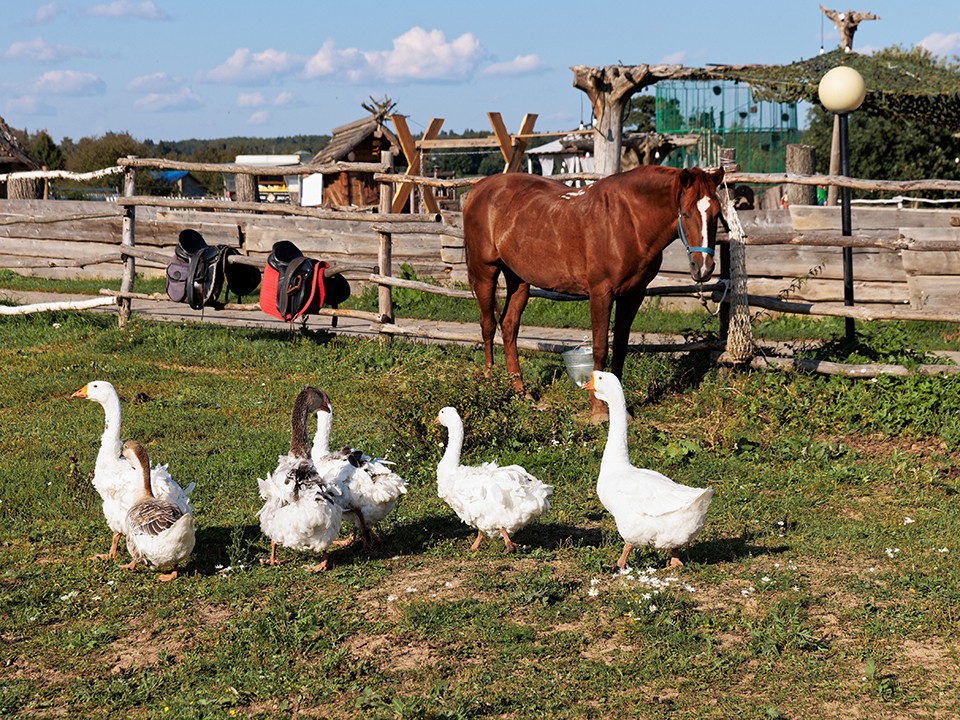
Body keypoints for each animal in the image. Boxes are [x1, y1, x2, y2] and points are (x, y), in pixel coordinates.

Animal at [464, 166, 728, 420]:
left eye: (717, 214)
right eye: (686, 213)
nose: (703, 268)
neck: (628, 221)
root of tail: (477, 190)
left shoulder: (633, 294)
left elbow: (620, 346)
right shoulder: (601, 293)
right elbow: (600, 348)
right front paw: (598, 409)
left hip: (518, 279)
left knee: (509, 327)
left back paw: (521, 392)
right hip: (485, 273)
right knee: (488, 326)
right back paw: (489, 383)